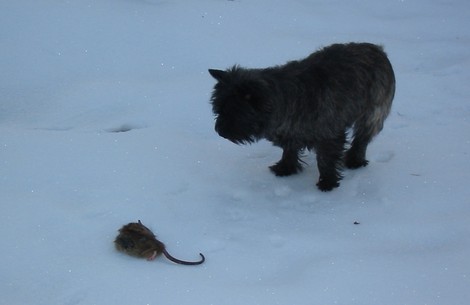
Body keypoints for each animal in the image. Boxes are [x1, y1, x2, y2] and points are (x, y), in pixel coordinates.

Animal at [207, 42, 394, 190]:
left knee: (362, 138)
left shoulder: (330, 135)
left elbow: (325, 160)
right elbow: (289, 150)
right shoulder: (290, 133)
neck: (285, 100)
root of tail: (378, 49)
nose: (219, 131)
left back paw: (355, 160)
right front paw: (285, 168)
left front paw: (327, 182)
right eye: (218, 109)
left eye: (233, 112)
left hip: (373, 113)